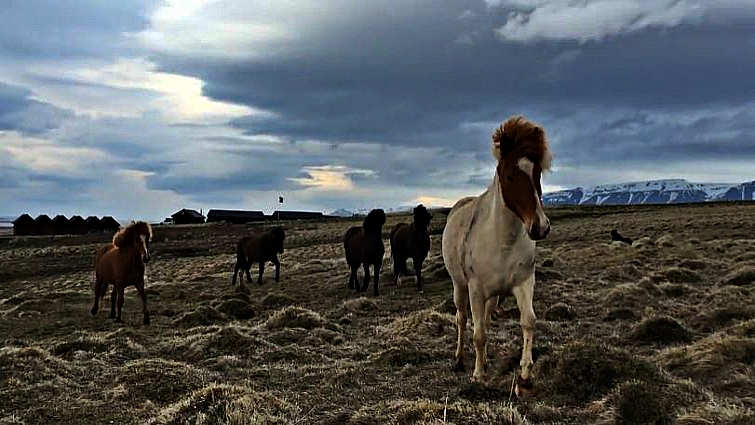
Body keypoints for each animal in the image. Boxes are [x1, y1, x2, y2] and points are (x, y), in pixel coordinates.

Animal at [442, 116, 552, 396]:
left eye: (537, 174)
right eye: (509, 176)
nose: (540, 227)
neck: (503, 241)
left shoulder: (523, 283)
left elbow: (528, 322)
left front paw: (525, 377)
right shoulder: (476, 290)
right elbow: (478, 333)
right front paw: (478, 376)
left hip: (492, 295)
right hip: (460, 286)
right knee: (462, 318)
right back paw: (459, 359)